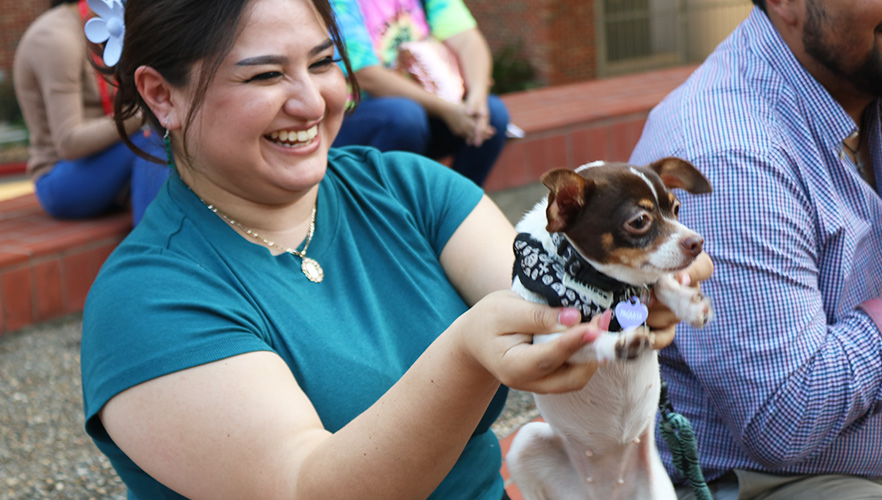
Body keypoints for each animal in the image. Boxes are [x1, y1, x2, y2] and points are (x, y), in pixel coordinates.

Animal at [506, 158, 712, 500]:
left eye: (676, 208)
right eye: (639, 221)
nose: (696, 242)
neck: (606, 285)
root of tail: (607, 491)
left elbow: (659, 281)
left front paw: (689, 305)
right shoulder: (548, 342)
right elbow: (587, 339)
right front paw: (619, 343)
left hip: (658, 490)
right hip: (524, 445)